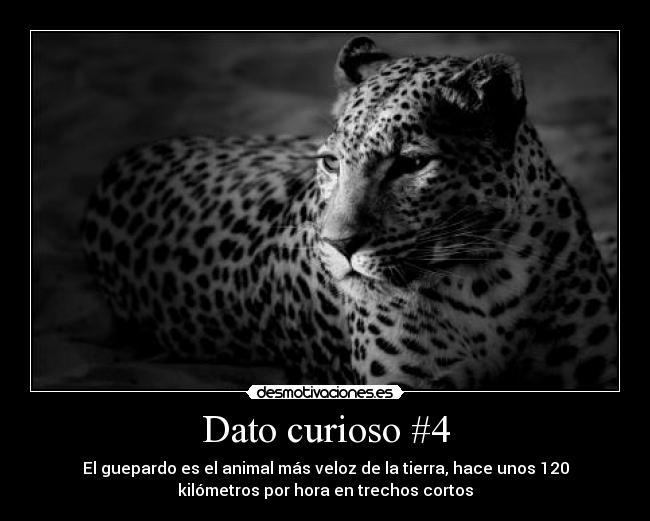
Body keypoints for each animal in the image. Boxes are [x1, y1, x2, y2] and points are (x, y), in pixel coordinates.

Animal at [81, 36, 618, 390]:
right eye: (331, 162)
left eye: (411, 164)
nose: (338, 246)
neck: (488, 277)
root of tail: (126, 157)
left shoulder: (594, 365)